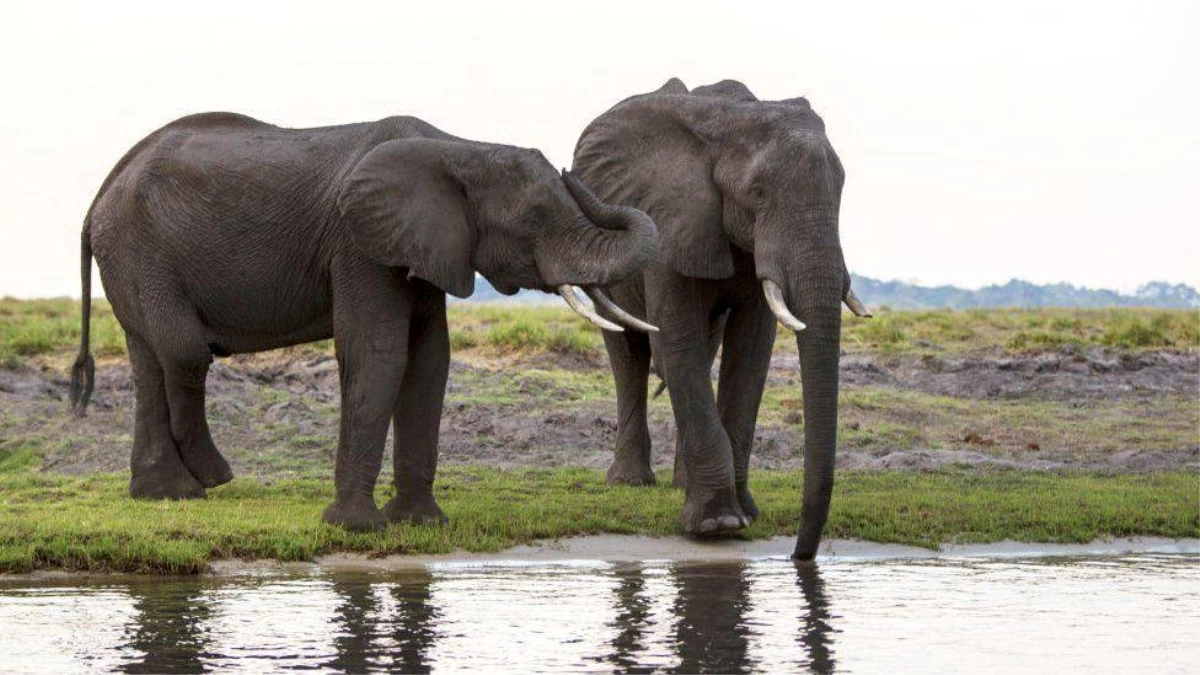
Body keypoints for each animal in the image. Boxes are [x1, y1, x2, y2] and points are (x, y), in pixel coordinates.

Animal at [70, 111, 662, 530]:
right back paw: (211, 478)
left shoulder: (422, 246)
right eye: (534, 219)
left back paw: (167, 493)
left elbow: (429, 360)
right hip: (141, 252)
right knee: (183, 352)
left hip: (131, 256)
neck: (458, 147)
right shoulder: (358, 243)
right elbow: (378, 353)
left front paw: (421, 524)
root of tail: (100, 193)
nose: (570, 169)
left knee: (150, 360)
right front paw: (356, 528)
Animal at [573, 77, 873, 557]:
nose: (799, 556)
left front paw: (743, 513)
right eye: (757, 193)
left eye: (841, 189)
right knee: (629, 353)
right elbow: (677, 340)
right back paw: (631, 483)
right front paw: (717, 525)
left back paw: (681, 484)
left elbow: (751, 351)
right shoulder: (669, 217)